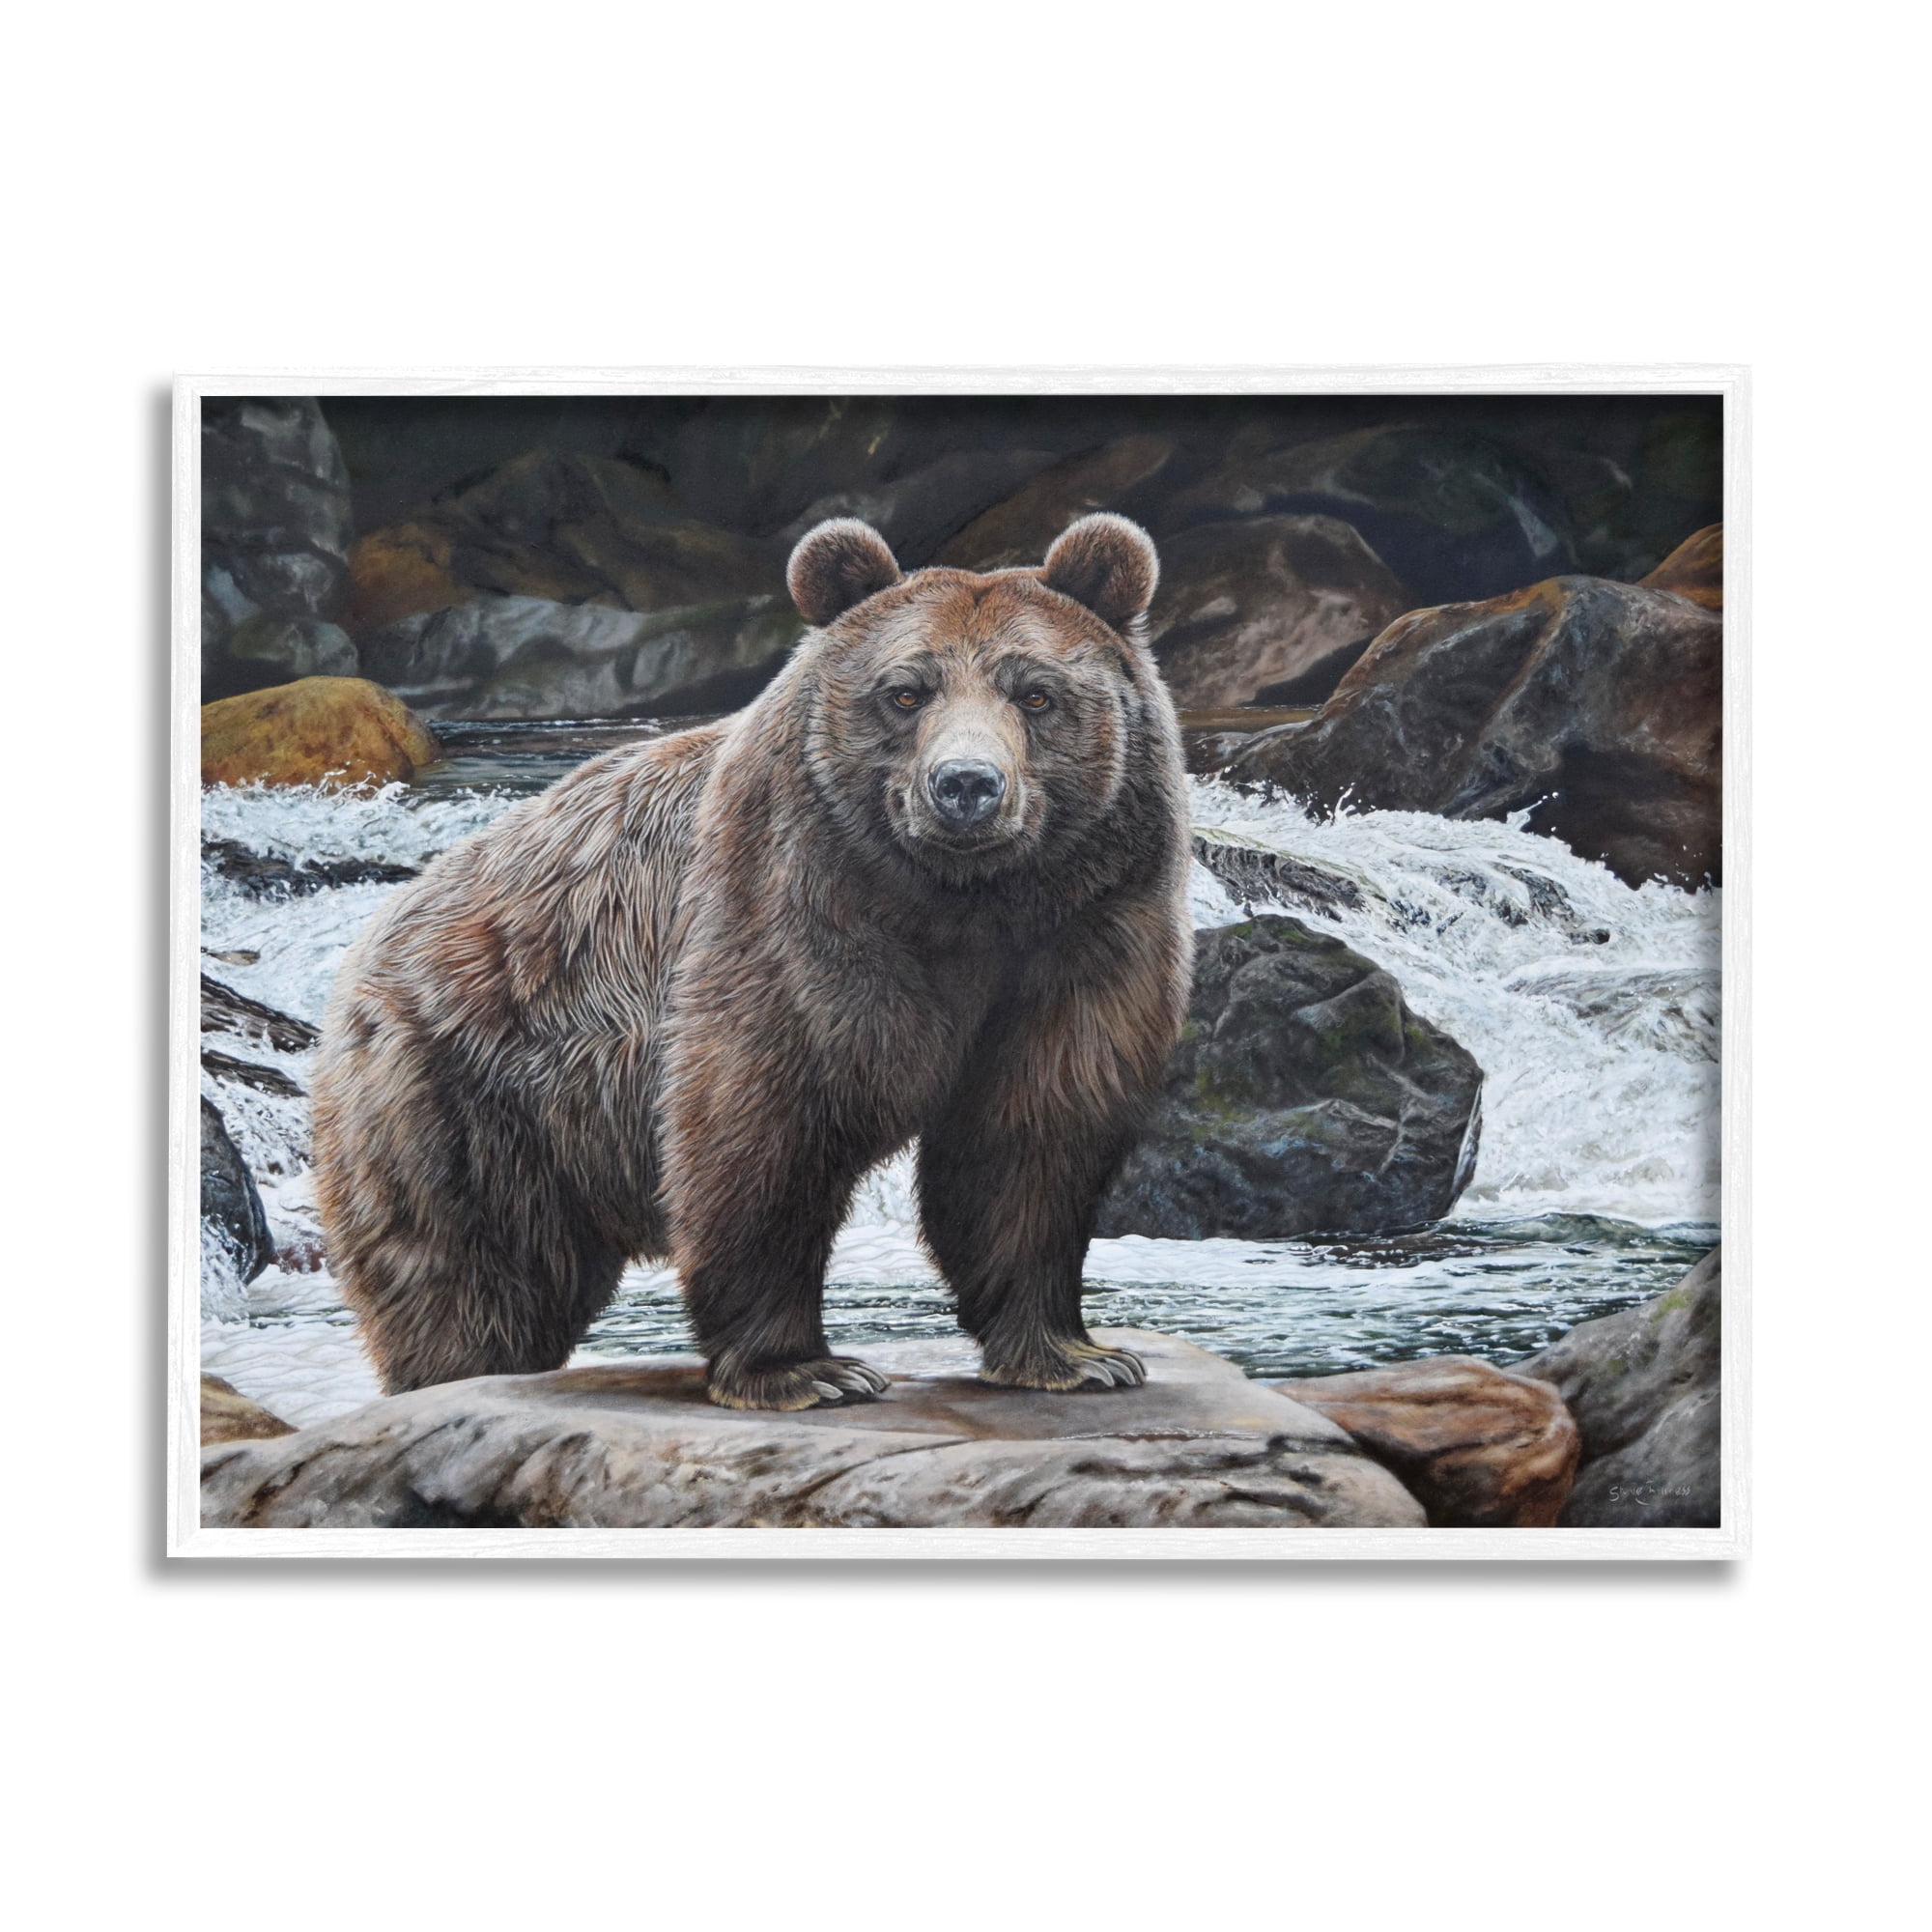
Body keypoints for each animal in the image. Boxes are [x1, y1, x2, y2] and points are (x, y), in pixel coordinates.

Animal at [311, 512, 1192, 1411]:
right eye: (906, 692)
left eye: (1036, 693)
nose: (967, 786)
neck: (967, 903)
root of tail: (373, 943)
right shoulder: (789, 908)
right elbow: (763, 1122)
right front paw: (805, 1369)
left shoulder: (1087, 931)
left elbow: (1031, 1136)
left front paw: (1073, 1354)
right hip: (468, 1091)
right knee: (471, 1275)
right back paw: (455, 1372)